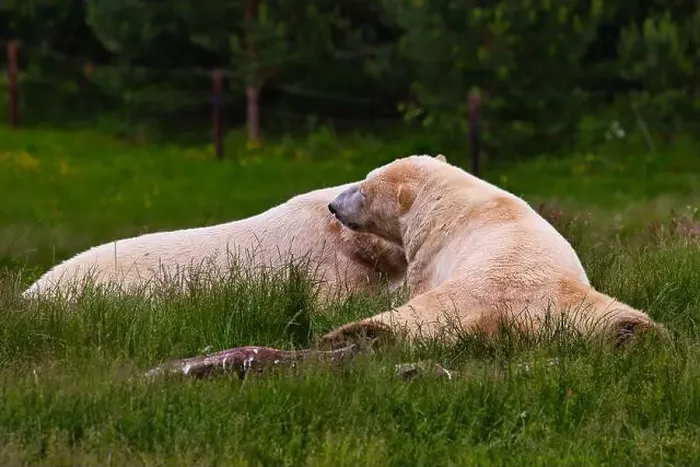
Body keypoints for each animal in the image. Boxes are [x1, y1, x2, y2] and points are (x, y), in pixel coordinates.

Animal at [318, 154, 662, 348]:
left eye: (363, 189)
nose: (333, 206)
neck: (448, 194)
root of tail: (500, 315)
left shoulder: (429, 256)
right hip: (568, 306)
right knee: (615, 316)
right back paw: (635, 333)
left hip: (455, 301)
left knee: (405, 319)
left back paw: (348, 336)